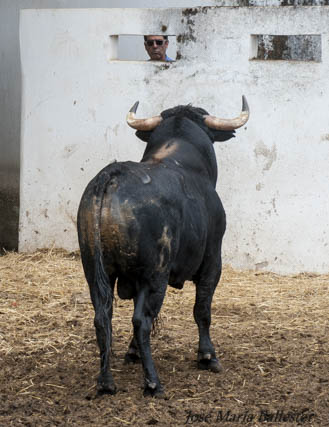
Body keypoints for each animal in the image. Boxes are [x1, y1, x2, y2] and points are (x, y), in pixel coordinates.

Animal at [77, 98, 247, 398]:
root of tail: (110, 176)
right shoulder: (213, 260)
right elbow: (202, 309)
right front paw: (208, 356)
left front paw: (131, 353)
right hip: (155, 274)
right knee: (142, 321)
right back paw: (153, 383)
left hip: (96, 271)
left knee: (102, 317)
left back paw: (106, 382)